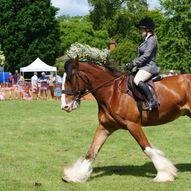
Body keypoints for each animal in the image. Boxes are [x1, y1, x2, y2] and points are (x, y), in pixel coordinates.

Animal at [60, 57, 191, 184]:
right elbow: (91, 152)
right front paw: (76, 175)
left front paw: (164, 174)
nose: (65, 106)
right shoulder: (105, 127)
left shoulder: (132, 125)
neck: (112, 92)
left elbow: (146, 148)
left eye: (70, 80)